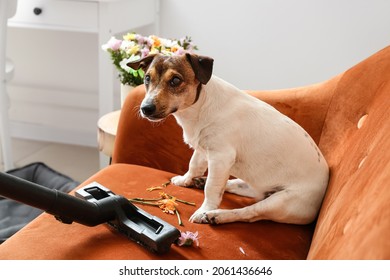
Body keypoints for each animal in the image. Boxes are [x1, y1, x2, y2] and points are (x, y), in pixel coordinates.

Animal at [129, 53, 330, 225]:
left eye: (176, 80)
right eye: (147, 78)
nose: (145, 108)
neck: (200, 106)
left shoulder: (220, 157)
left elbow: (212, 189)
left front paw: (205, 210)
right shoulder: (202, 150)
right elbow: (194, 166)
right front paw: (186, 180)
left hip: (280, 202)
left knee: (249, 212)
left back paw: (215, 216)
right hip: (253, 186)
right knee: (234, 185)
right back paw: (201, 182)